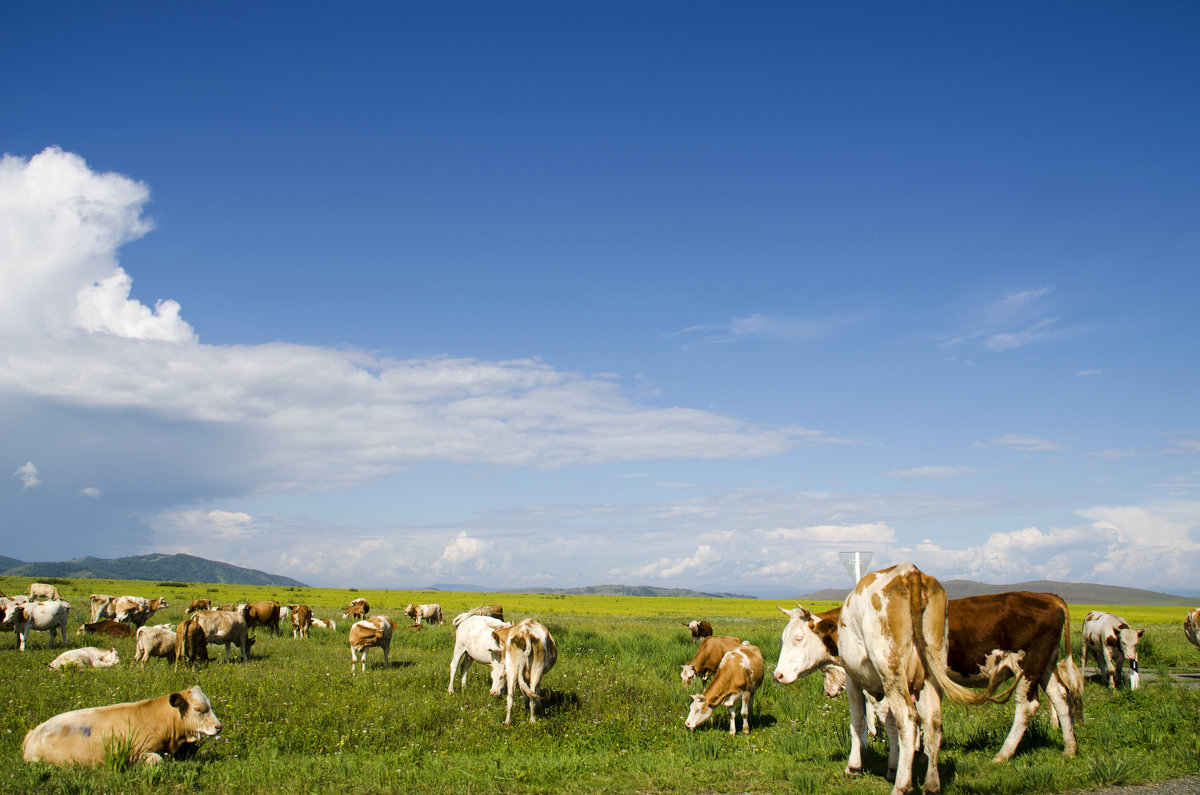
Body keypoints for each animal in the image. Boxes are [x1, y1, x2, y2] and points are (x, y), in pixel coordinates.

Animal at [772, 564, 998, 795]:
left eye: (798, 638)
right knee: (933, 722)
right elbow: (890, 725)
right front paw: (892, 766)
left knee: (908, 720)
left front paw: (854, 766)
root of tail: (908, 572)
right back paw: (932, 784)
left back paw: (902, 786)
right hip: (931, 674)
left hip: (894, 675)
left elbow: (859, 722)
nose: (778, 675)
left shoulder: (856, 681)